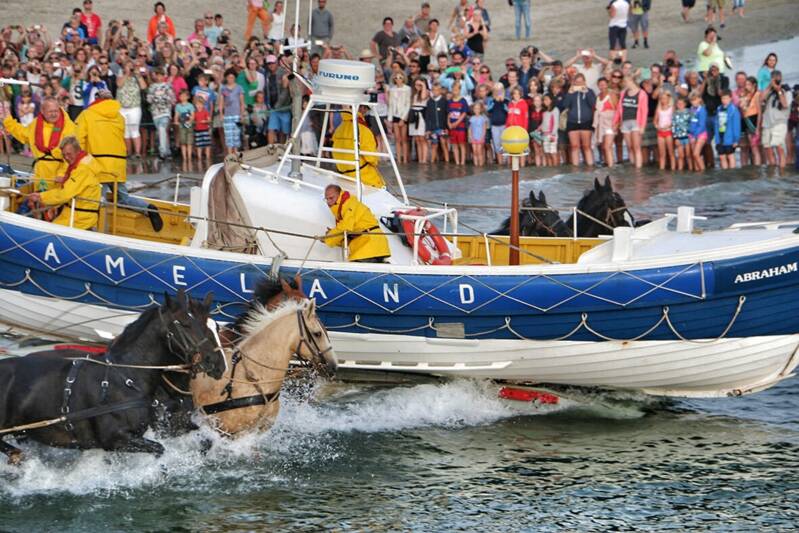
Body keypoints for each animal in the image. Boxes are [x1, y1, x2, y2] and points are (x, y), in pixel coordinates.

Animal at [0, 290, 226, 464]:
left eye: (216, 328)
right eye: (185, 323)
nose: (216, 362)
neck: (126, 377)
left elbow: (204, 440)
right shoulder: (116, 439)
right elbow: (160, 450)